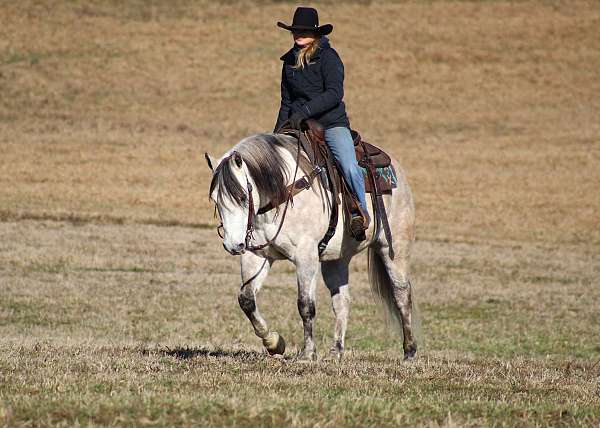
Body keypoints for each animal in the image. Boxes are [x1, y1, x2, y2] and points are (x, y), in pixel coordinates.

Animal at [206, 132, 418, 360]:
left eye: (243, 197)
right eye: (215, 199)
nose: (232, 245)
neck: (283, 192)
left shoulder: (305, 256)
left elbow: (305, 305)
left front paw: (308, 353)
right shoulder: (257, 256)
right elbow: (246, 299)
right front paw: (274, 343)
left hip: (394, 248)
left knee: (402, 295)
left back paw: (409, 351)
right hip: (337, 259)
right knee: (342, 301)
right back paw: (336, 351)